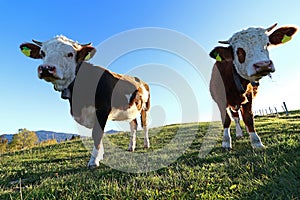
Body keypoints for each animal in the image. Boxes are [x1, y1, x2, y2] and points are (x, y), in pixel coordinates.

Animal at [19, 36, 150, 167]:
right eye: (42, 53)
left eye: (70, 54)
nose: (46, 68)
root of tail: (139, 80)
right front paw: (99, 156)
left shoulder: (102, 109)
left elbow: (97, 134)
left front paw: (93, 161)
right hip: (131, 110)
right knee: (133, 125)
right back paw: (131, 147)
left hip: (145, 107)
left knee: (144, 125)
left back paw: (146, 144)